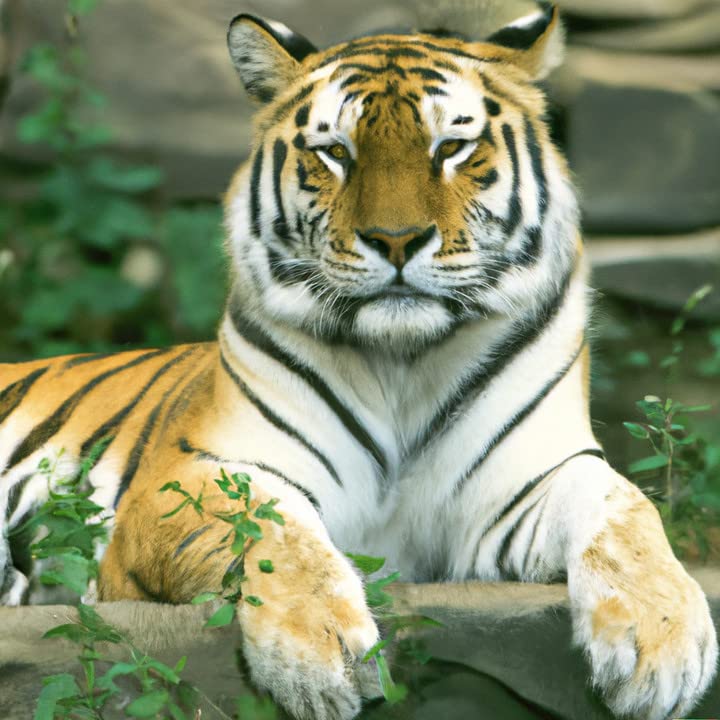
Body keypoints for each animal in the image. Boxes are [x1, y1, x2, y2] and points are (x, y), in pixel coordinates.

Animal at [0, 3, 717, 719]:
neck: (402, 362)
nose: (395, 240)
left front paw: (662, 645)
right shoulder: (195, 475)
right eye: (336, 153)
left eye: (450, 148)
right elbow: (271, 530)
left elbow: (626, 509)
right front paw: (319, 654)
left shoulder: (526, 485)